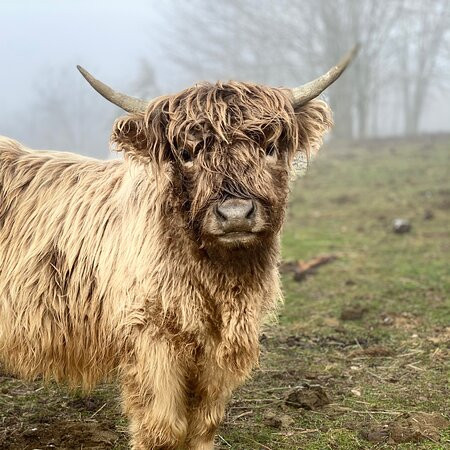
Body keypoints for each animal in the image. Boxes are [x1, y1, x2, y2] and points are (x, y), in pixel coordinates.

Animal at [0, 47, 356, 448]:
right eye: (187, 154)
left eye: (268, 147)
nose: (235, 214)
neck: (218, 279)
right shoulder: (151, 338)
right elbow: (163, 426)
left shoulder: (220, 347)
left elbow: (204, 421)